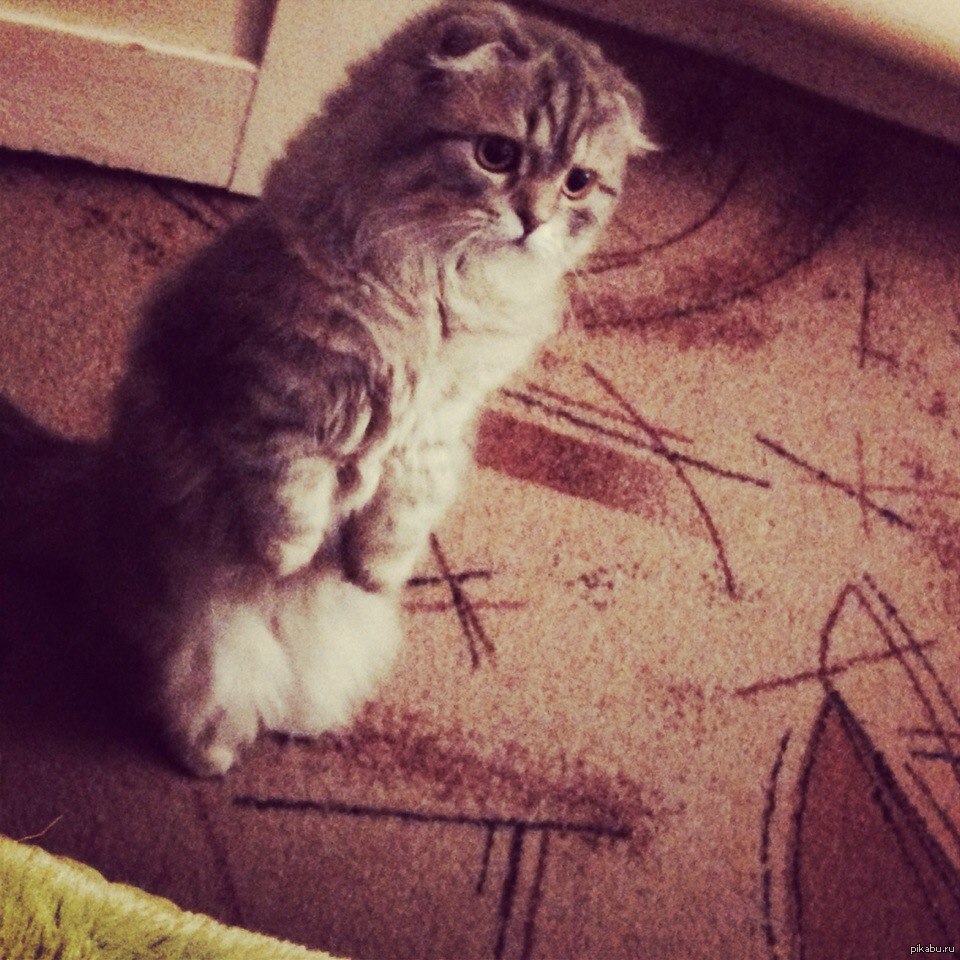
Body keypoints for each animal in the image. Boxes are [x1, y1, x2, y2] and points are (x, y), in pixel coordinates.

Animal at [0, 0, 655, 775]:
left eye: (578, 183)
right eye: (497, 154)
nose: (535, 219)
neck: (440, 294)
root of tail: (95, 483)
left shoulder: (439, 430)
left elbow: (398, 515)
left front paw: (371, 572)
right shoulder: (282, 391)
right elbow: (294, 491)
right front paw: (288, 554)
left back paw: (307, 720)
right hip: (194, 641)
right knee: (196, 689)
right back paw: (210, 753)